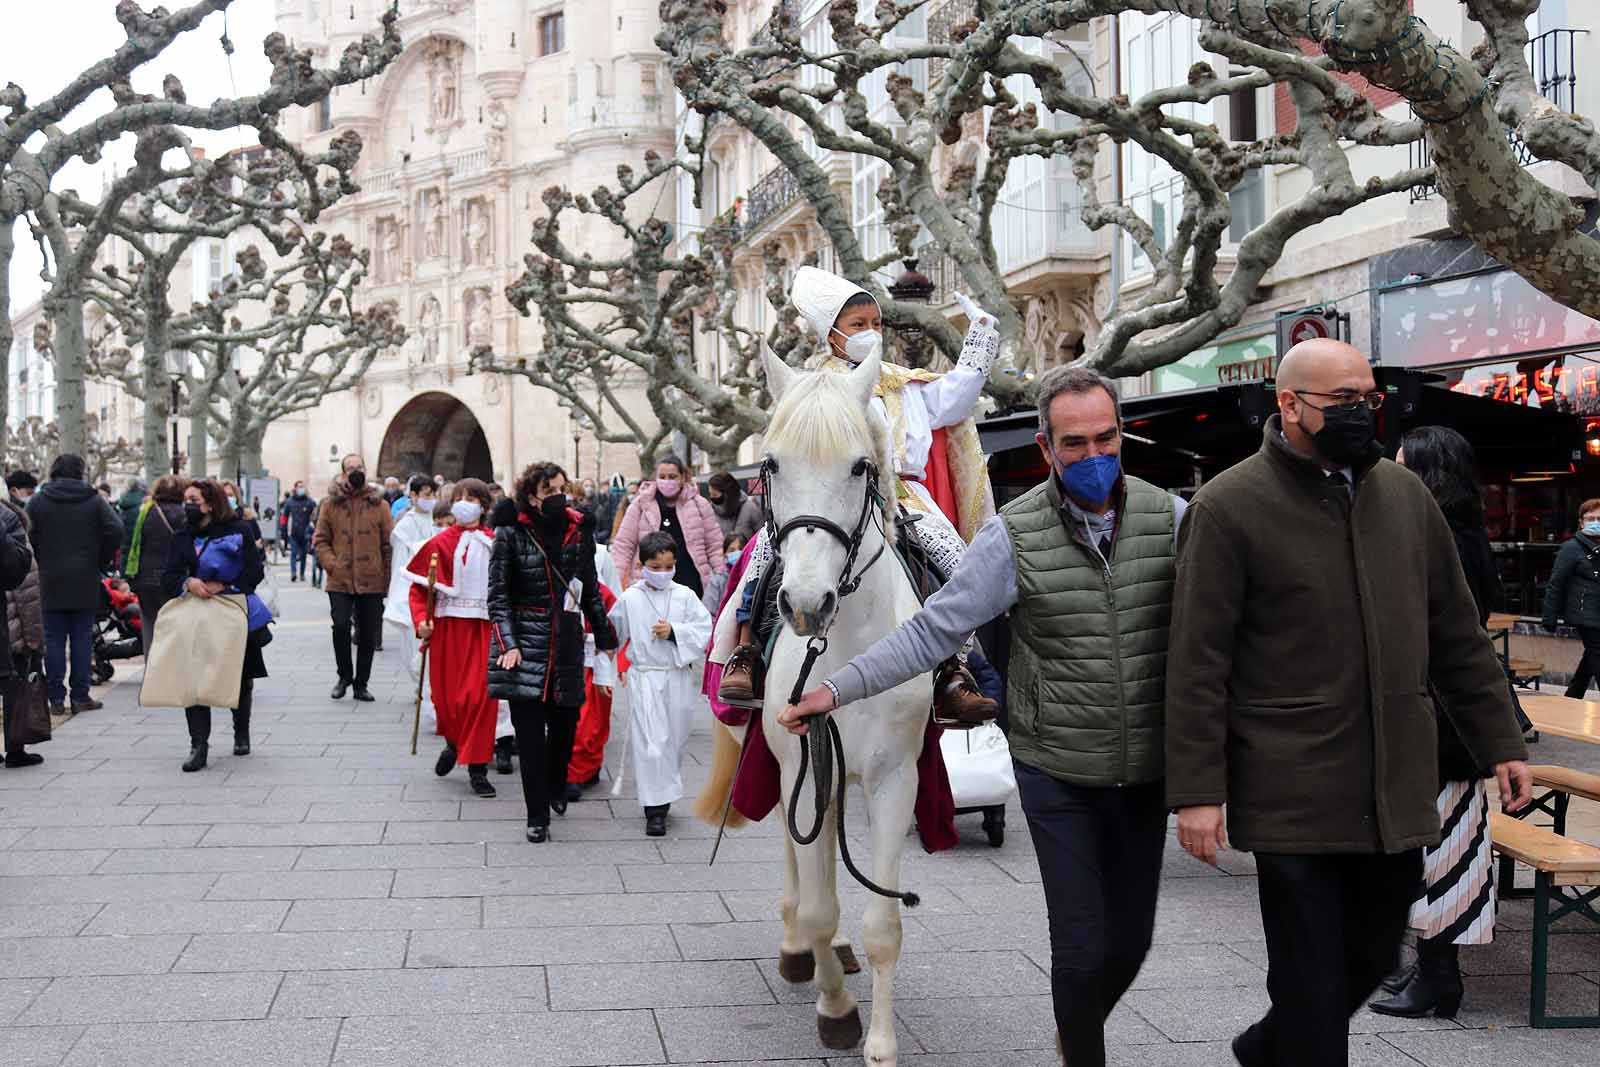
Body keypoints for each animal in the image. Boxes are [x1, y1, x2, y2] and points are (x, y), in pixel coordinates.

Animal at [694, 347, 934, 1062]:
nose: (804, 605)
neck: (842, 650)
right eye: (771, 464)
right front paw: (835, 1008)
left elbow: (882, 921)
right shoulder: (804, 767)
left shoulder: (894, 777)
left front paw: (880, 1042)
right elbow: (821, 905)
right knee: (798, 859)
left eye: (860, 465)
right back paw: (800, 949)